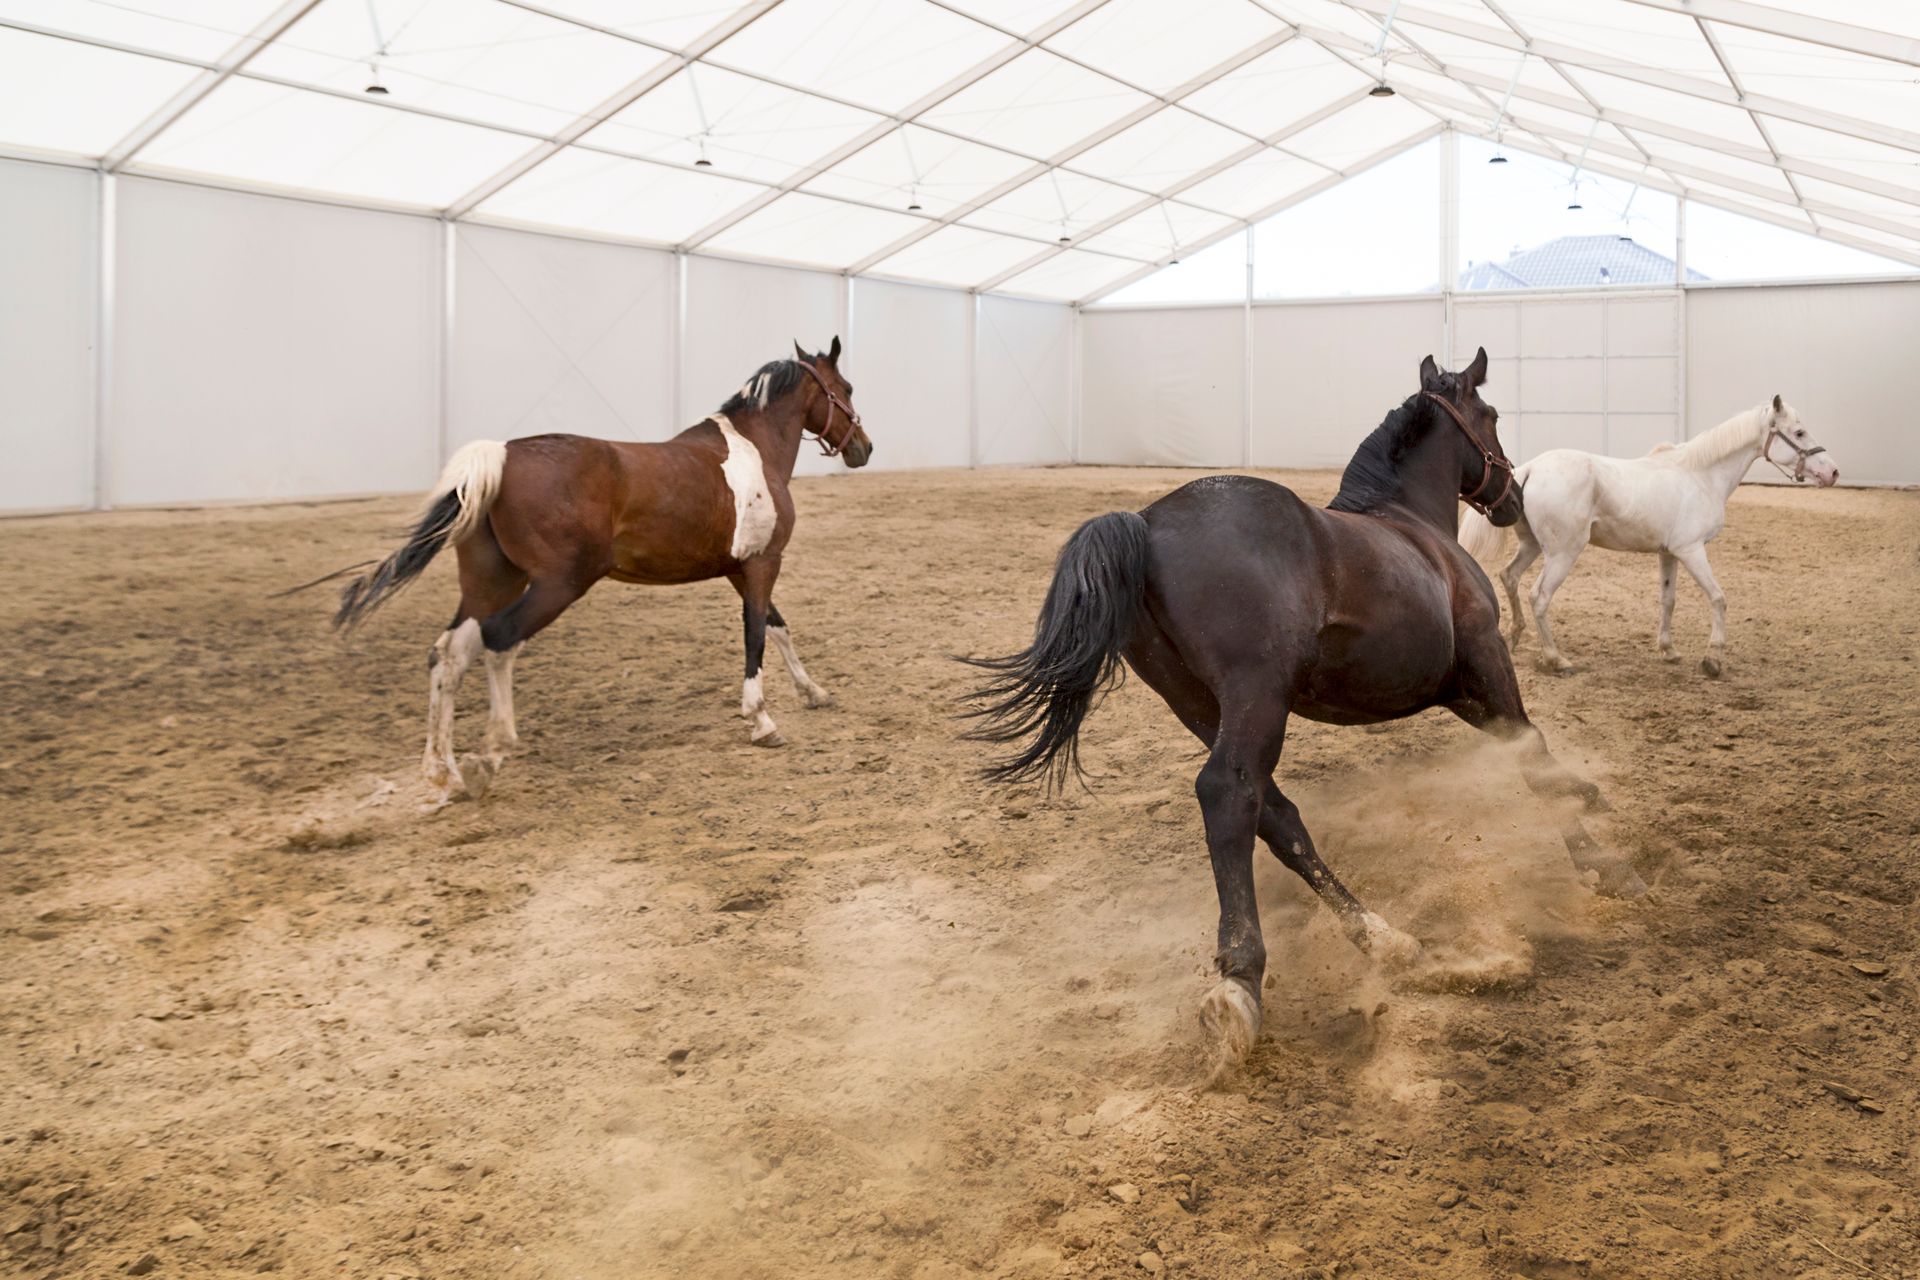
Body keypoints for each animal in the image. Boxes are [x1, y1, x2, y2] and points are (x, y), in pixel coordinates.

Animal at [328, 338, 871, 804]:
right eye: (845, 389)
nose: (863, 448)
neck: (755, 454)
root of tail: (501, 455)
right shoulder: (762, 563)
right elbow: (756, 633)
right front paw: (762, 721)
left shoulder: (740, 568)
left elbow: (778, 628)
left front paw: (813, 692)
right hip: (557, 585)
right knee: (499, 640)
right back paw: (490, 756)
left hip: (491, 582)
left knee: (448, 654)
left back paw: (443, 771)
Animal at [963, 350, 1636, 1067]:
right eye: (1492, 415)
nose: (1512, 498)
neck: (1413, 525)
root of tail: (1147, 523)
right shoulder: (1483, 657)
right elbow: (1530, 751)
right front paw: (1601, 861)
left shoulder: (1451, 690)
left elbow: (1526, 750)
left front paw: (1588, 803)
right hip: (1256, 697)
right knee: (1230, 794)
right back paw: (1241, 982)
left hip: (1196, 704)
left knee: (1277, 815)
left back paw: (1386, 939)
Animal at [1458, 396, 1838, 678]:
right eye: (1799, 433)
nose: (1832, 472)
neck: (1701, 475)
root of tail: (1531, 468)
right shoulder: (1691, 550)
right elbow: (1718, 598)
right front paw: (1712, 659)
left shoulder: (1668, 553)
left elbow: (1668, 600)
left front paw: (1668, 650)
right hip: (1563, 553)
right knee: (1539, 596)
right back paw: (1556, 659)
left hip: (1533, 546)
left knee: (1509, 577)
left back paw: (1514, 637)